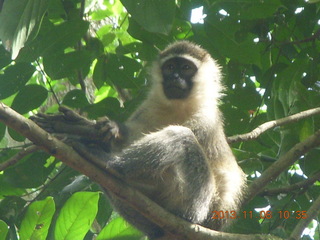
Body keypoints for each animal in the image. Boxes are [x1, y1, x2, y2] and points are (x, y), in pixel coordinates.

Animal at [94, 40, 246, 239]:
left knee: (181, 137)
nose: (174, 76)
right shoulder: (147, 107)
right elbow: (131, 135)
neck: (178, 107)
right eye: (170, 67)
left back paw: (110, 162)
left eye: (186, 68)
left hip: (200, 203)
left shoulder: (207, 119)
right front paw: (114, 128)